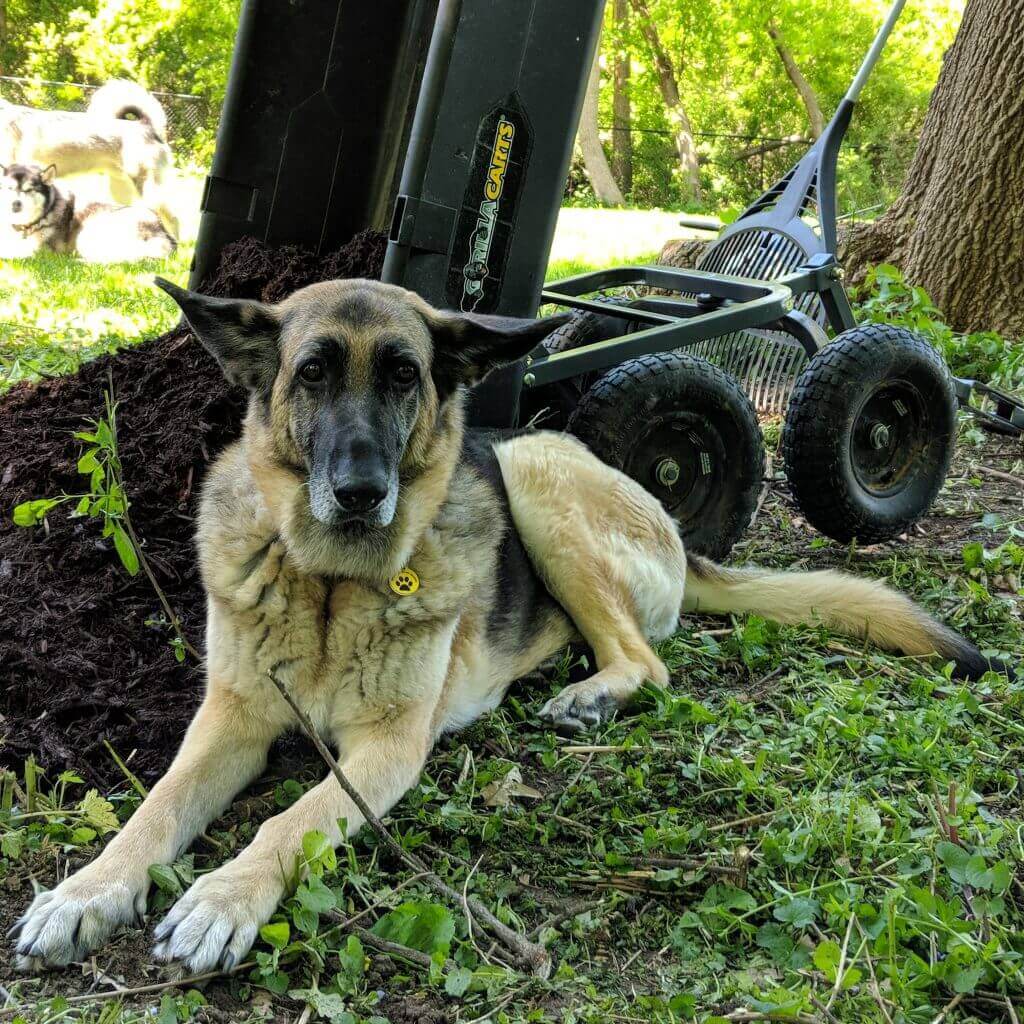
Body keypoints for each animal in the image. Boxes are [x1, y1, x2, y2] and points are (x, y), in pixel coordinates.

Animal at [0, 161, 174, 262]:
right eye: (9, 188)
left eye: (29, 190)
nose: (15, 204)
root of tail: (163, 232)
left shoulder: (43, 250)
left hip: (87, 234)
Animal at [12, 276, 1011, 970]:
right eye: (313, 373)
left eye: (406, 376)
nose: (362, 492)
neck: (331, 585)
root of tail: (674, 524)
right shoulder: (230, 720)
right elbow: (155, 808)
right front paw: (87, 891)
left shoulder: (387, 750)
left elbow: (288, 824)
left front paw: (224, 899)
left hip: (534, 474)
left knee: (648, 659)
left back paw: (590, 696)